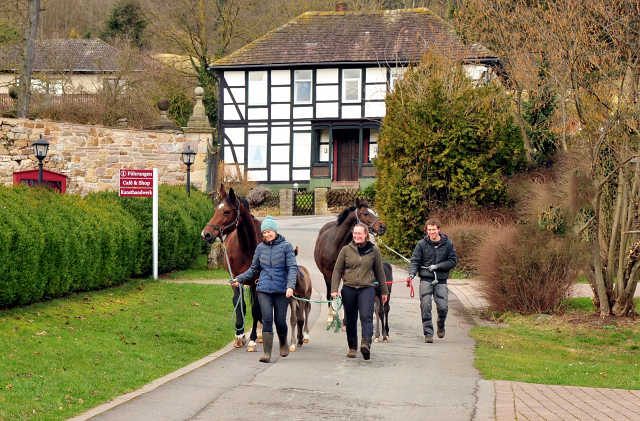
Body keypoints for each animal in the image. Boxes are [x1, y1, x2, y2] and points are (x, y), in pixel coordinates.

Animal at [202, 184, 262, 352]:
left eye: (227, 211)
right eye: (216, 209)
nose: (206, 234)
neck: (248, 246)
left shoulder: (258, 281)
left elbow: (256, 308)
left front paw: (252, 339)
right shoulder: (235, 278)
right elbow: (238, 303)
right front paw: (239, 335)